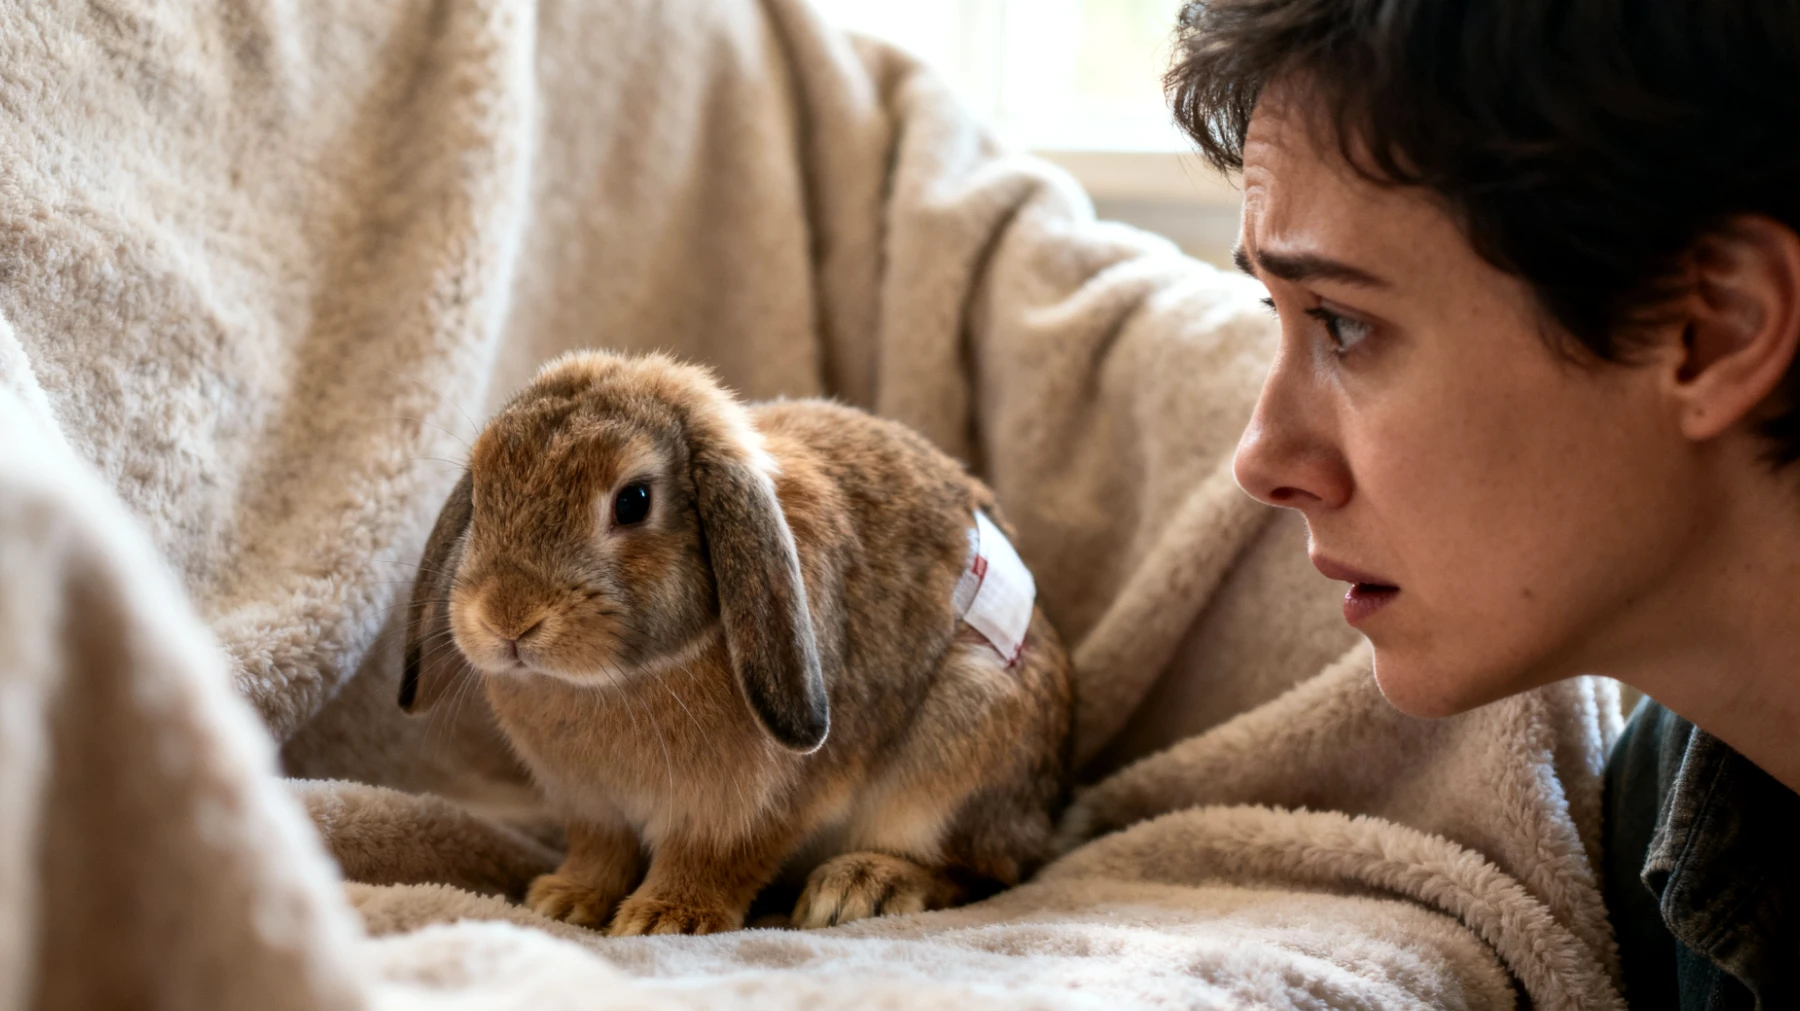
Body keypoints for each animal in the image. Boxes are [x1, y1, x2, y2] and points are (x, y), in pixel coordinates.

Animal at [399, 350, 1073, 936]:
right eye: (482, 490)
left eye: (633, 501)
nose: (508, 618)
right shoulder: (590, 808)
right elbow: (600, 853)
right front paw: (564, 900)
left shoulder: (749, 809)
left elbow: (713, 860)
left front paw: (665, 918)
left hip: (959, 747)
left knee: (984, 869)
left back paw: (861, 888)